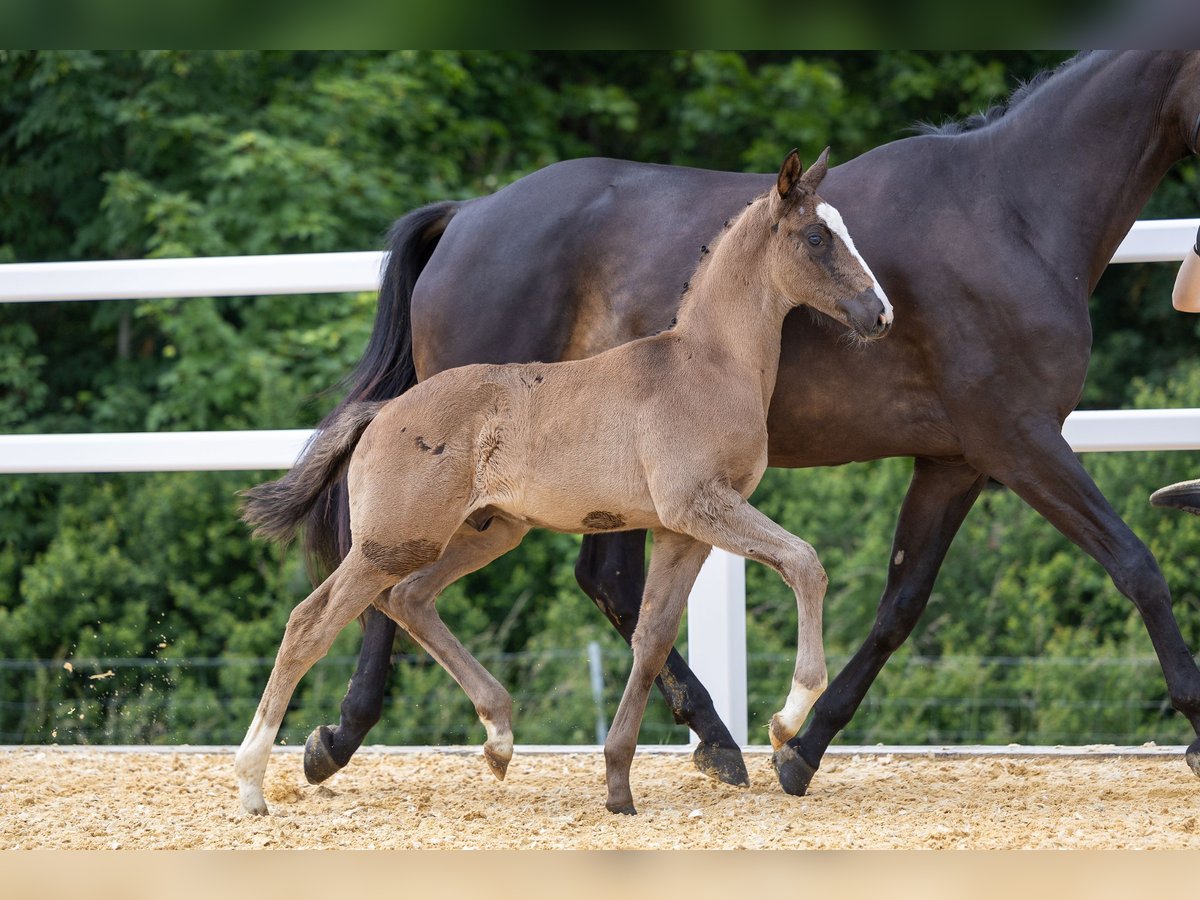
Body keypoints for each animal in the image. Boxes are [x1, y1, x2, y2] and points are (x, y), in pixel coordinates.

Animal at [234, 150, 892, 816]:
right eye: (816, 237)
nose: (880, 313)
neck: (705, 366)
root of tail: (382, 411)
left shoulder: (684, 530)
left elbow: (652, 639)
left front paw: (619, 783)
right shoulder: (701, 506)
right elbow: (804, 562)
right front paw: (787, 719)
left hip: (487, 532)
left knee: (409, 598)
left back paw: (499, 737)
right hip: (393, 541)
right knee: (311, 623)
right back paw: (253, 782)